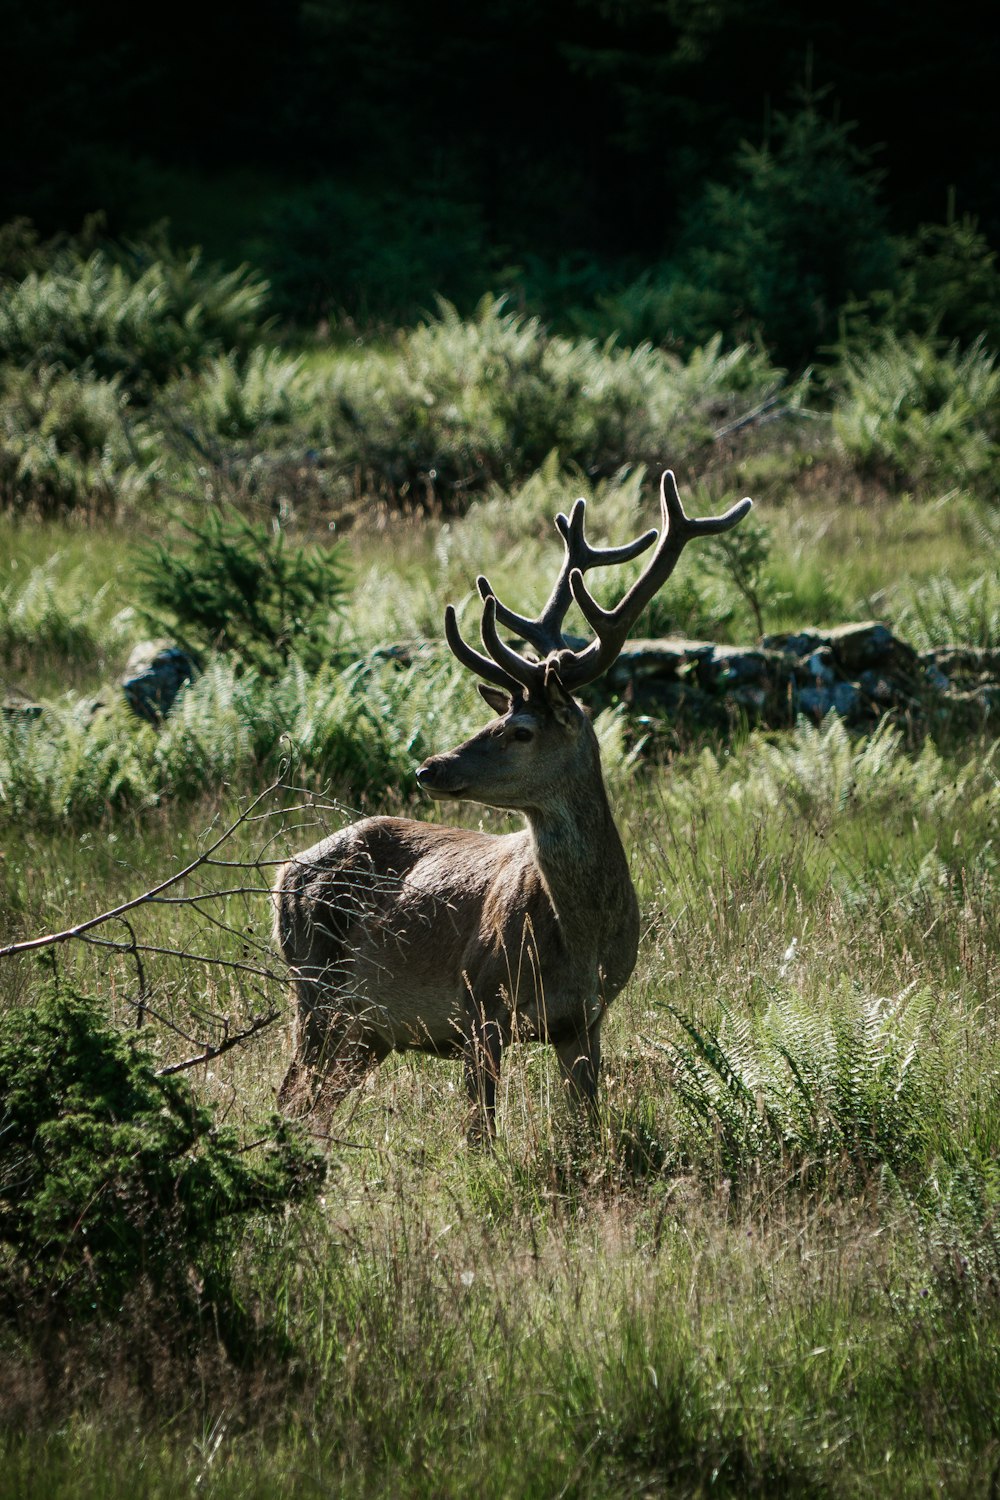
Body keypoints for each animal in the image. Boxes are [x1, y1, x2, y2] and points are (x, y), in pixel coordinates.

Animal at [274, 468, 749, 1134]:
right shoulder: (480, 1003)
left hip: (365, 1030)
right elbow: (481, 1133)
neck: (579, 940)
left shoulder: (586, 1019)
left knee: (314, 1104)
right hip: (314, 988)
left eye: (520, 730)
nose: (429, 766)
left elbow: (586, 1129)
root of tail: (282, 875)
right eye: (496, 718)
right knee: (289, 1096)